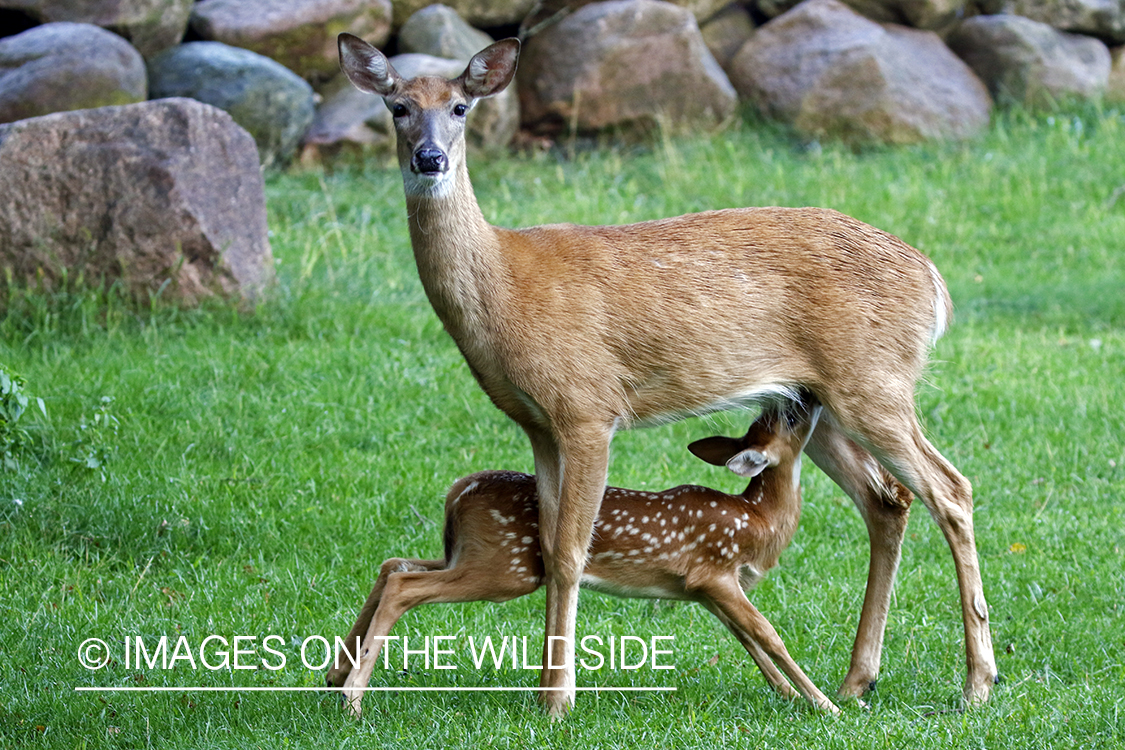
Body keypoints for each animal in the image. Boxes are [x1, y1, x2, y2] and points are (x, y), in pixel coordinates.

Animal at [328, 402, 841, 719]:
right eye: (790, 416)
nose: (807, 394)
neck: (758, 520)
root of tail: (459, 492)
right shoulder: (712, 571)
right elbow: (767, 634)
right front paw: (826, 705)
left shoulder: (703, 590)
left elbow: (747, 639)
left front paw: (789, 695)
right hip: (506, 566)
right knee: (404, 584)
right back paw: (353, 699)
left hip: (465, 553)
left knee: (394, 564)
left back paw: (335, 677)